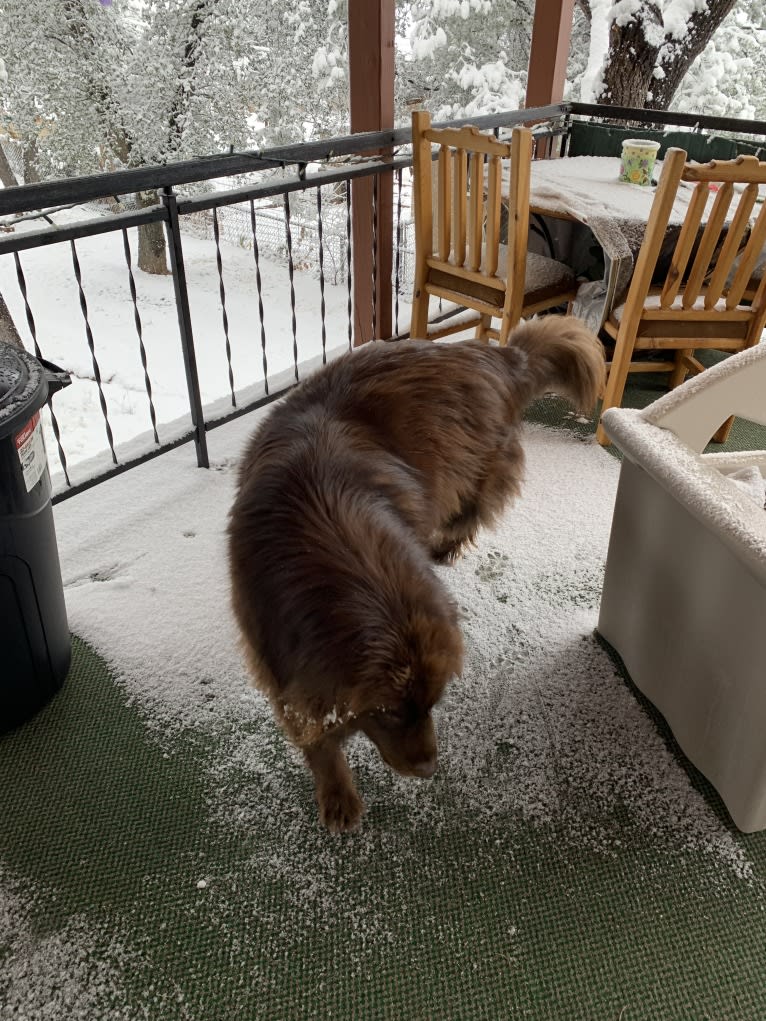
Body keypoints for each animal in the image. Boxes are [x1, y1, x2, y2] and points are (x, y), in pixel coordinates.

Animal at [227, 314, 604, 833]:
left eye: (434, 702)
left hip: (474, 467)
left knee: (470, 512)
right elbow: (316, 733)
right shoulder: (278, 658)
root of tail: (497, 354)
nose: (429, 769)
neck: (327, 528)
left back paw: (445, 545)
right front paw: (336, 791)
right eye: (387, 711)